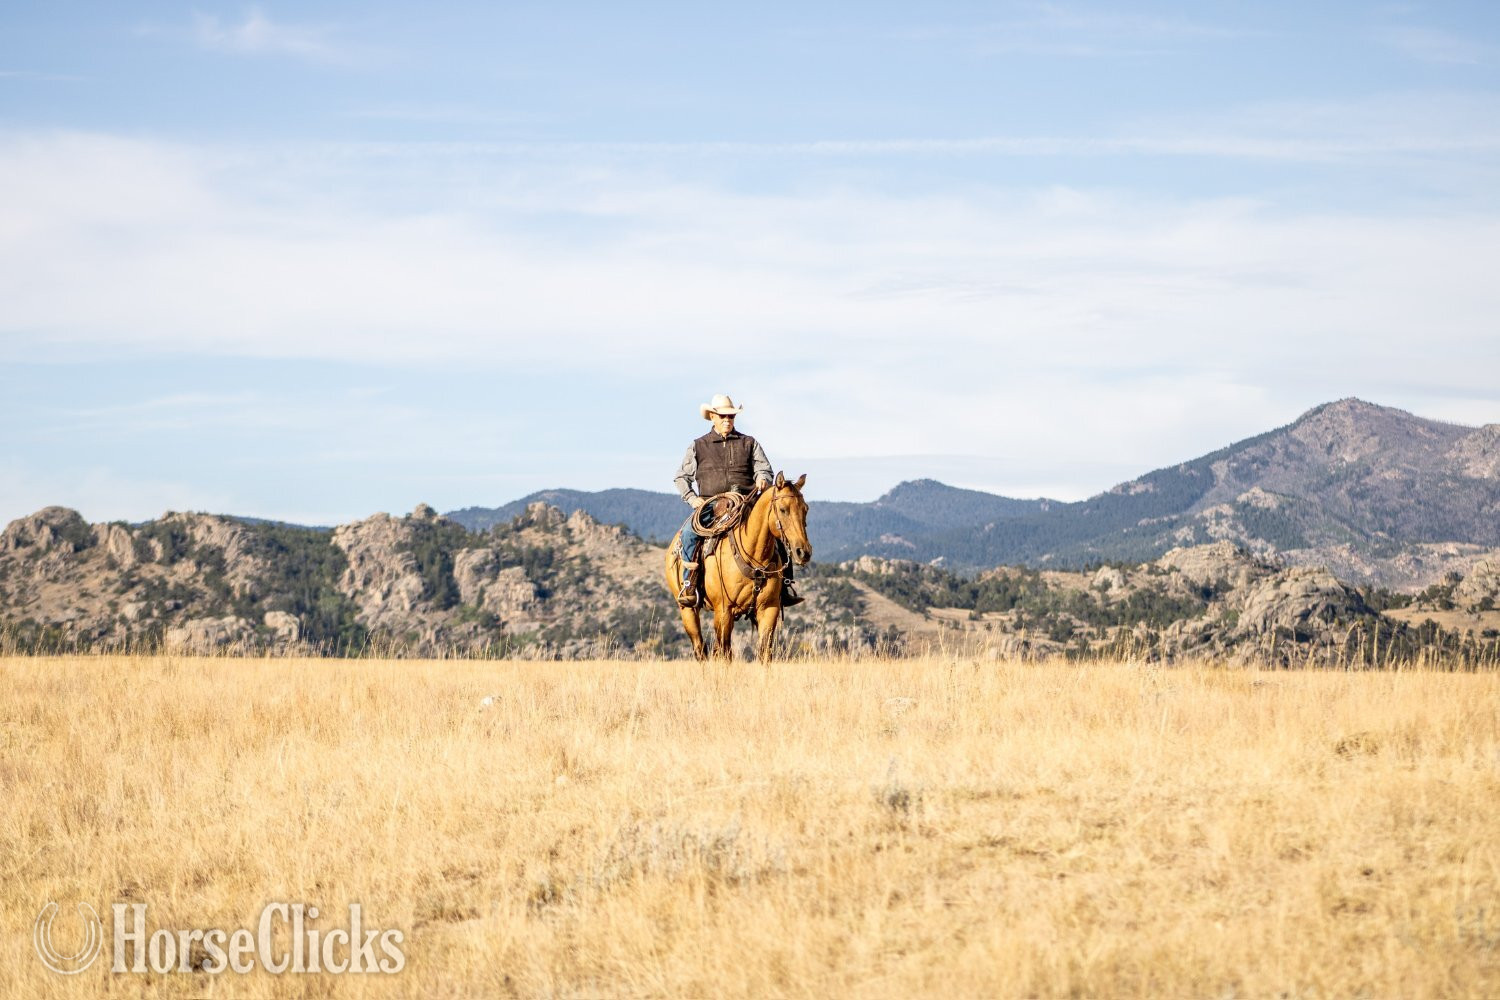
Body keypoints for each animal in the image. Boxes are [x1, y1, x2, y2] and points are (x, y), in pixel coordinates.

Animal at [663, 472, 812, 663]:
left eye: (805, 509)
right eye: (783, 509)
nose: (803, 552)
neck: (753, 557)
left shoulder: (769, 609)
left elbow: (764, 652)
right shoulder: (724, 612)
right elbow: (725, 654)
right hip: (687, 610)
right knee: (700, 648)